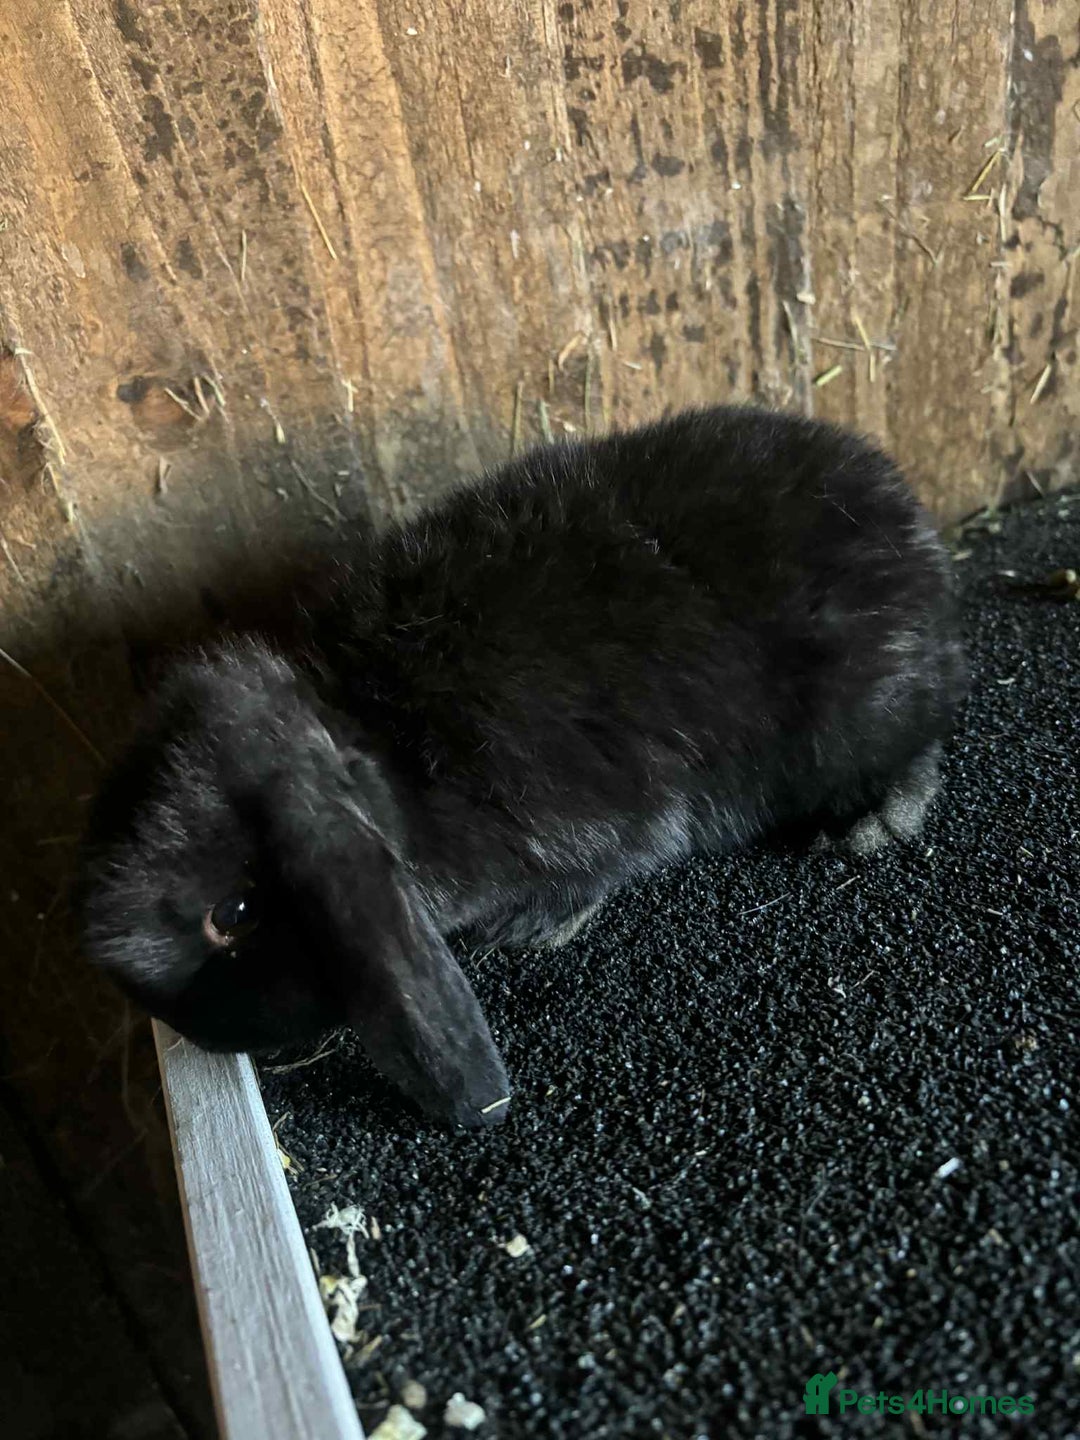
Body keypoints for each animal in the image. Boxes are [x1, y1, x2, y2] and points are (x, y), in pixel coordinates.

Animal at [79, 405, 967, 1128]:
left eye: (232, 914)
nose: (190, 1033)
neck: (378, 742)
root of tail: (905, 516)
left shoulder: (605, 821)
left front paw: (536, 929)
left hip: (858, 715)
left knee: (917, 745)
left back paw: (873, 823)